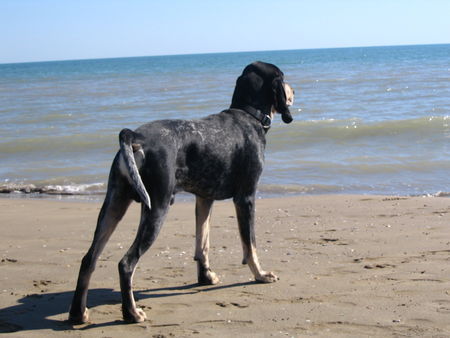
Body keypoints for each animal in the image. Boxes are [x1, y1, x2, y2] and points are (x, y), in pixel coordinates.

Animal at [68, 62, 296, 324]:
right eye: (283, 78)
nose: (294, 90)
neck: (248, 115)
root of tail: (135, 136)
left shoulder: (204, 199)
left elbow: (202, 243)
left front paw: (205, 277)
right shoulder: (246, 198)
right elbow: (250, 245)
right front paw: (260, 274)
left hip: (113, 205)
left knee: (89, 259)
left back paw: (78, 313)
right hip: (156, 208)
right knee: (126, 263)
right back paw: (131, 313)